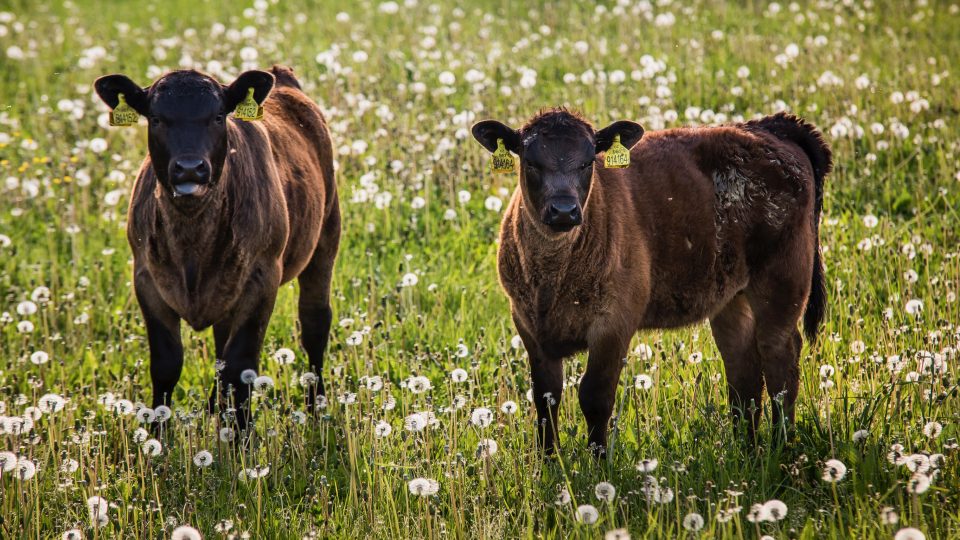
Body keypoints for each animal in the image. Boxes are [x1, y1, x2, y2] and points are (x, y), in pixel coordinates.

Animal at [93, 66, 342, 430]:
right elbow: (167, 364)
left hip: (326, 236)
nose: (189, 168)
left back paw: (316, 406)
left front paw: (242, 435)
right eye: (156, 118)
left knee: (314, 323)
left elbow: (241, 367)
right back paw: (217, 407)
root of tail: (284, 80)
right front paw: (157, 432)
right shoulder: (147, 279)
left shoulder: (261, 279)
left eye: (218, 116)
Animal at [474, 109, 832, 456]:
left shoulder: (614, 323)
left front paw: (599, 463)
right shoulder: (527, 324)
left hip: (783, 283)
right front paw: (549, 462)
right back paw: (747, 447)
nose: (563, 210)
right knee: (743, 368)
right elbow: (545, 399)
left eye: (588, 162)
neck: (553, 278)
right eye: (530, 162)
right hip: (732, 297)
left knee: (781, 359)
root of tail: (769, 127)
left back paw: (781, 445)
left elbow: (595, 397)